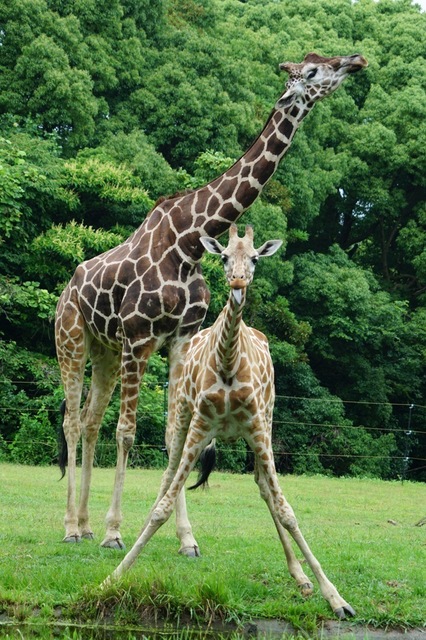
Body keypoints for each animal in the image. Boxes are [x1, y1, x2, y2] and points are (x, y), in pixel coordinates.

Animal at [55, 51, 366, 552]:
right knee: (72, 421)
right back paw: (71, 528)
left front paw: (185, 537)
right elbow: (128, 433)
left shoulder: (181, 338)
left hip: (105, 350)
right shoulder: (139, 338)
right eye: (313, 71)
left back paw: (82, 524)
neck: (188, 243)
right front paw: (115, 532)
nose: (355, 60)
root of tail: (68, 286)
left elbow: (174, 437)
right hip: (73, 339)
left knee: (88, 420)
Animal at [103, 226, 356, 620]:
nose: (237, 281)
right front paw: (113, 577)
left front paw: (335, 597)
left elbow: (286, 510)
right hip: (182, 416)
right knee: (168, 473)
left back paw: (300, 578)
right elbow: (162, 506)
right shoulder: (199, 424)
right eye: (222, 257)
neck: (227, 364)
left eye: (254, 258)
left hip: (265, 422)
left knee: (263, 487)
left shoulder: (257, 426)